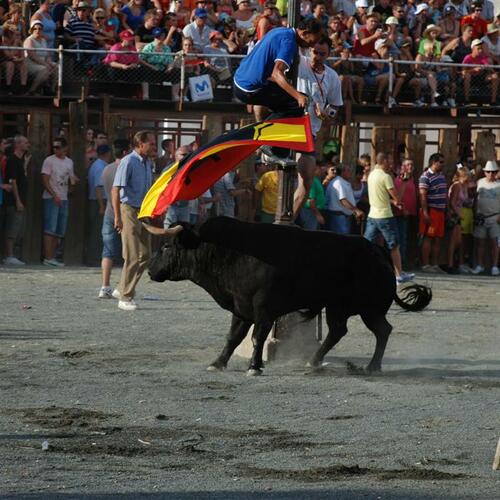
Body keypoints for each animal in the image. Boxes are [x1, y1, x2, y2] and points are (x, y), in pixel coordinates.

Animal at [146, 217, 430, 374]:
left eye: (166, 246)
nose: (149, 269)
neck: (227, 252)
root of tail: (377, 250)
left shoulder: (263, 309)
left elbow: (258, 337)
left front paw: (254, 367)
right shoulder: (241, 307)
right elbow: (233, 337)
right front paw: (218, 363)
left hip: (369, 309)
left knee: (382, 330)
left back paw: (372, 366)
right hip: (337, 307)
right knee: (338, 331)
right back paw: (314, 361)